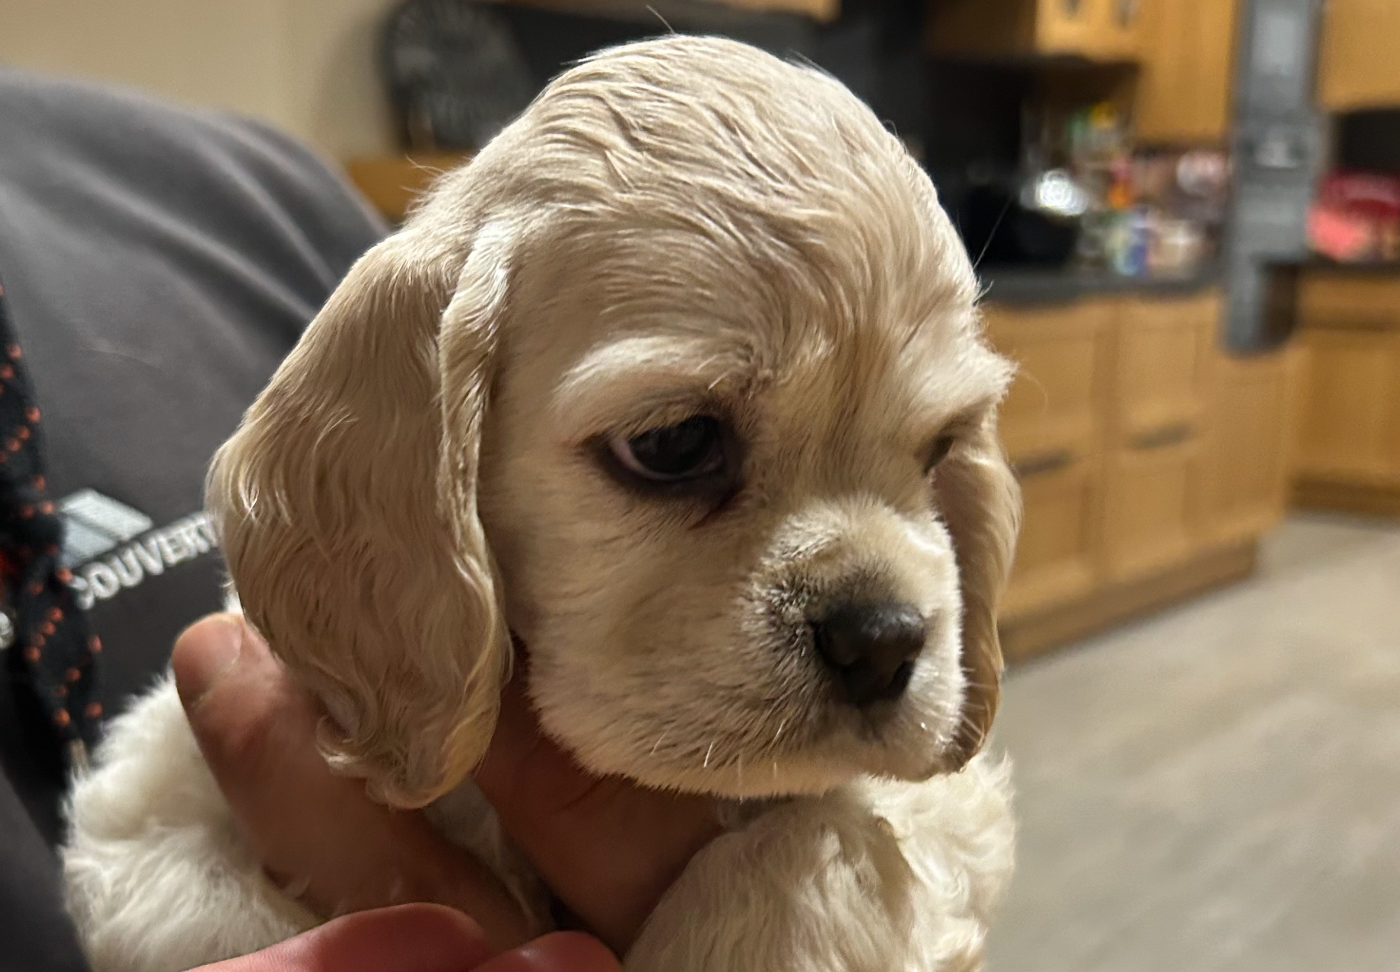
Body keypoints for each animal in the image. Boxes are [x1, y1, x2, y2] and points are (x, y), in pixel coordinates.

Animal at [61, 35, 1020, 972]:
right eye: (675, 443)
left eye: (939, 452)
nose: (882, 641)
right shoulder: (141, 813)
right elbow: (214, 911)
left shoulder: (956, 805)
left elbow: (811, 838)